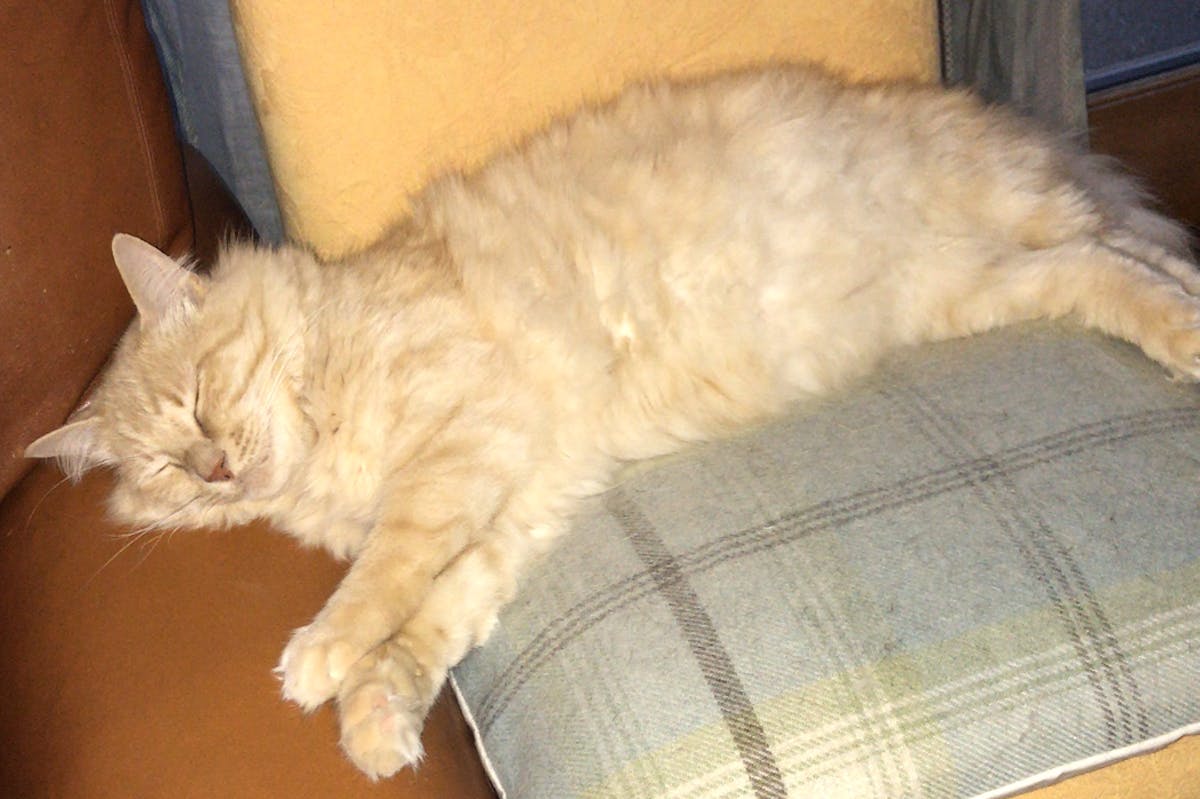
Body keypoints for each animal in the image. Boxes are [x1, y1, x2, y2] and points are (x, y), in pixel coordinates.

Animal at [21, 68, 1200, 777]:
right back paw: (1183, 327)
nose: (215, 468)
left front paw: (323, 656)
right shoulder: (519, 490)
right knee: (1112, 265)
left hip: (1003, 229)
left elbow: (384, 583)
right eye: (167, 466)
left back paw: (1189, 326)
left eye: (199, 397)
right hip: (975, 282)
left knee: (1133, 248)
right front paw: (378, 717)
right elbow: (435, 618)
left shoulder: (462, 446)